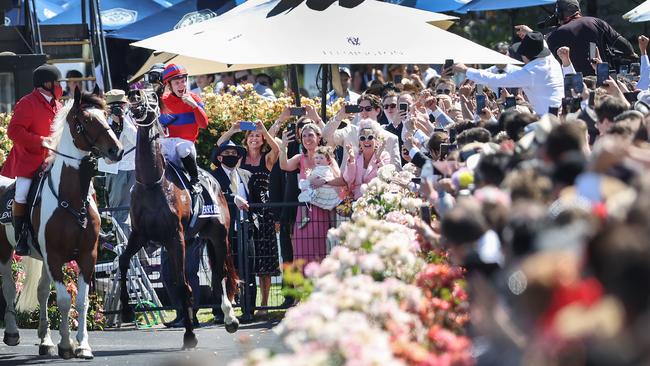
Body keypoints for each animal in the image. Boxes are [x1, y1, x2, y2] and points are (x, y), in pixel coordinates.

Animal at [0, 87, 123, 358]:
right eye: (85, 120)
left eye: (106, 115)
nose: (117, 151)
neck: (71, 199)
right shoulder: (55, 257)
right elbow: (65, 300)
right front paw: (67, 345)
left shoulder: (88, 256)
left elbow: (82, 301)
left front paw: (83, 346)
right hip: (3, 251)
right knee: (9, 287)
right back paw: (12, 333)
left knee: (42, 292)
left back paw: (45, 341)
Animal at [117, 91, 238, 348]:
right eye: (135, 91)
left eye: (153, 97)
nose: (134, 97)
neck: (152, 183)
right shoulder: (139, 235)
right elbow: (123, 261)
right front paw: (127, 311)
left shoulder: (175, 238)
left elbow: (184, 286)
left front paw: (190, 335)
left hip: (218, 237)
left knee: (220, 274)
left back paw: (229, 317)